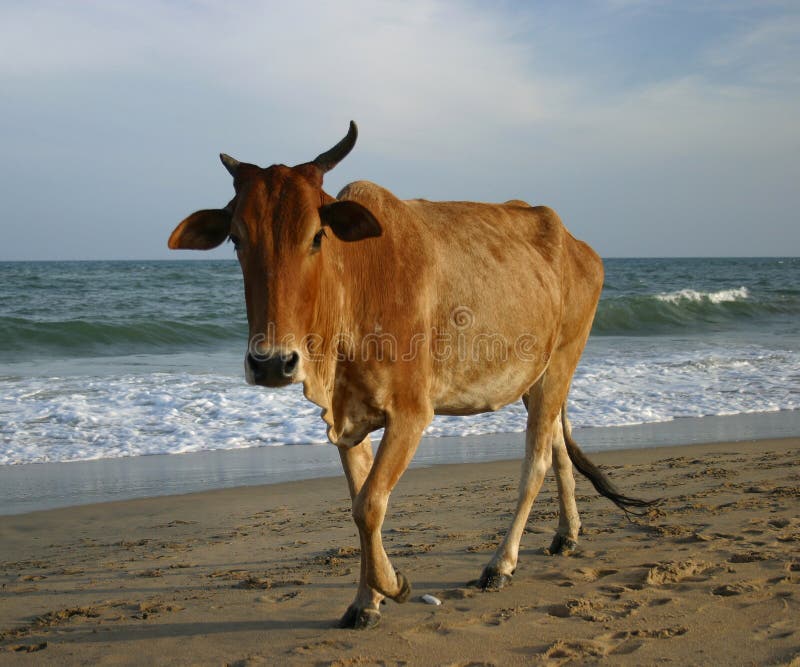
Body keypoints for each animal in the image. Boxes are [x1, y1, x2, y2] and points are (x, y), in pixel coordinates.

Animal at [169, 122, 656, 628]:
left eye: (317, 236)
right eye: (236, 239)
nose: (270, 363)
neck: (354, 286)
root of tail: (579, 246)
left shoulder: (411, 413)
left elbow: (369, 505)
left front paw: (391, 586)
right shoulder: (346, 420)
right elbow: (361, 503)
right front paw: (366, 601)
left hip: (562, 360)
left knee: (536, 461)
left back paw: (500, 564)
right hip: (537, 377)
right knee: (558, 446)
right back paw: (567, 534)